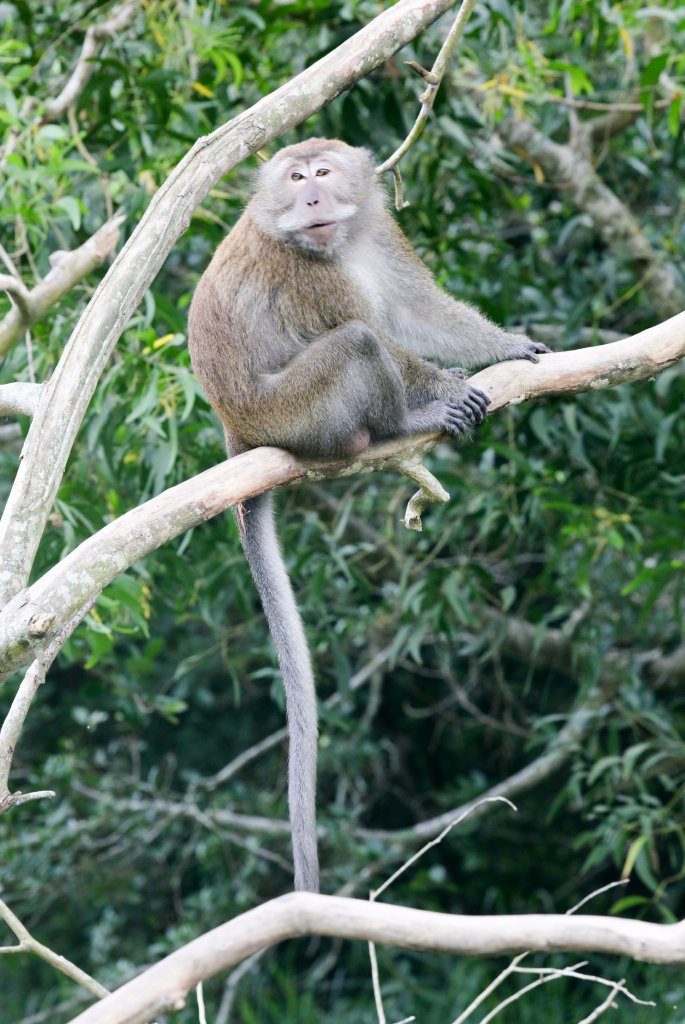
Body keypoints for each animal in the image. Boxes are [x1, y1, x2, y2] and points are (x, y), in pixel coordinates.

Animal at [188, 138, 549, 893]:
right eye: (296, 177)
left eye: (321, 173)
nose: (311, 197)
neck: (330, 244)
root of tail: (239, 431)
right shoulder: (307, 278)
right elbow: (384, 337)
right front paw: (443, 390)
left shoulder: (378, 233)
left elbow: (418, 310)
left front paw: (507, 345)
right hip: (297, 413)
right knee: (357, 344)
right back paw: (403, 422)